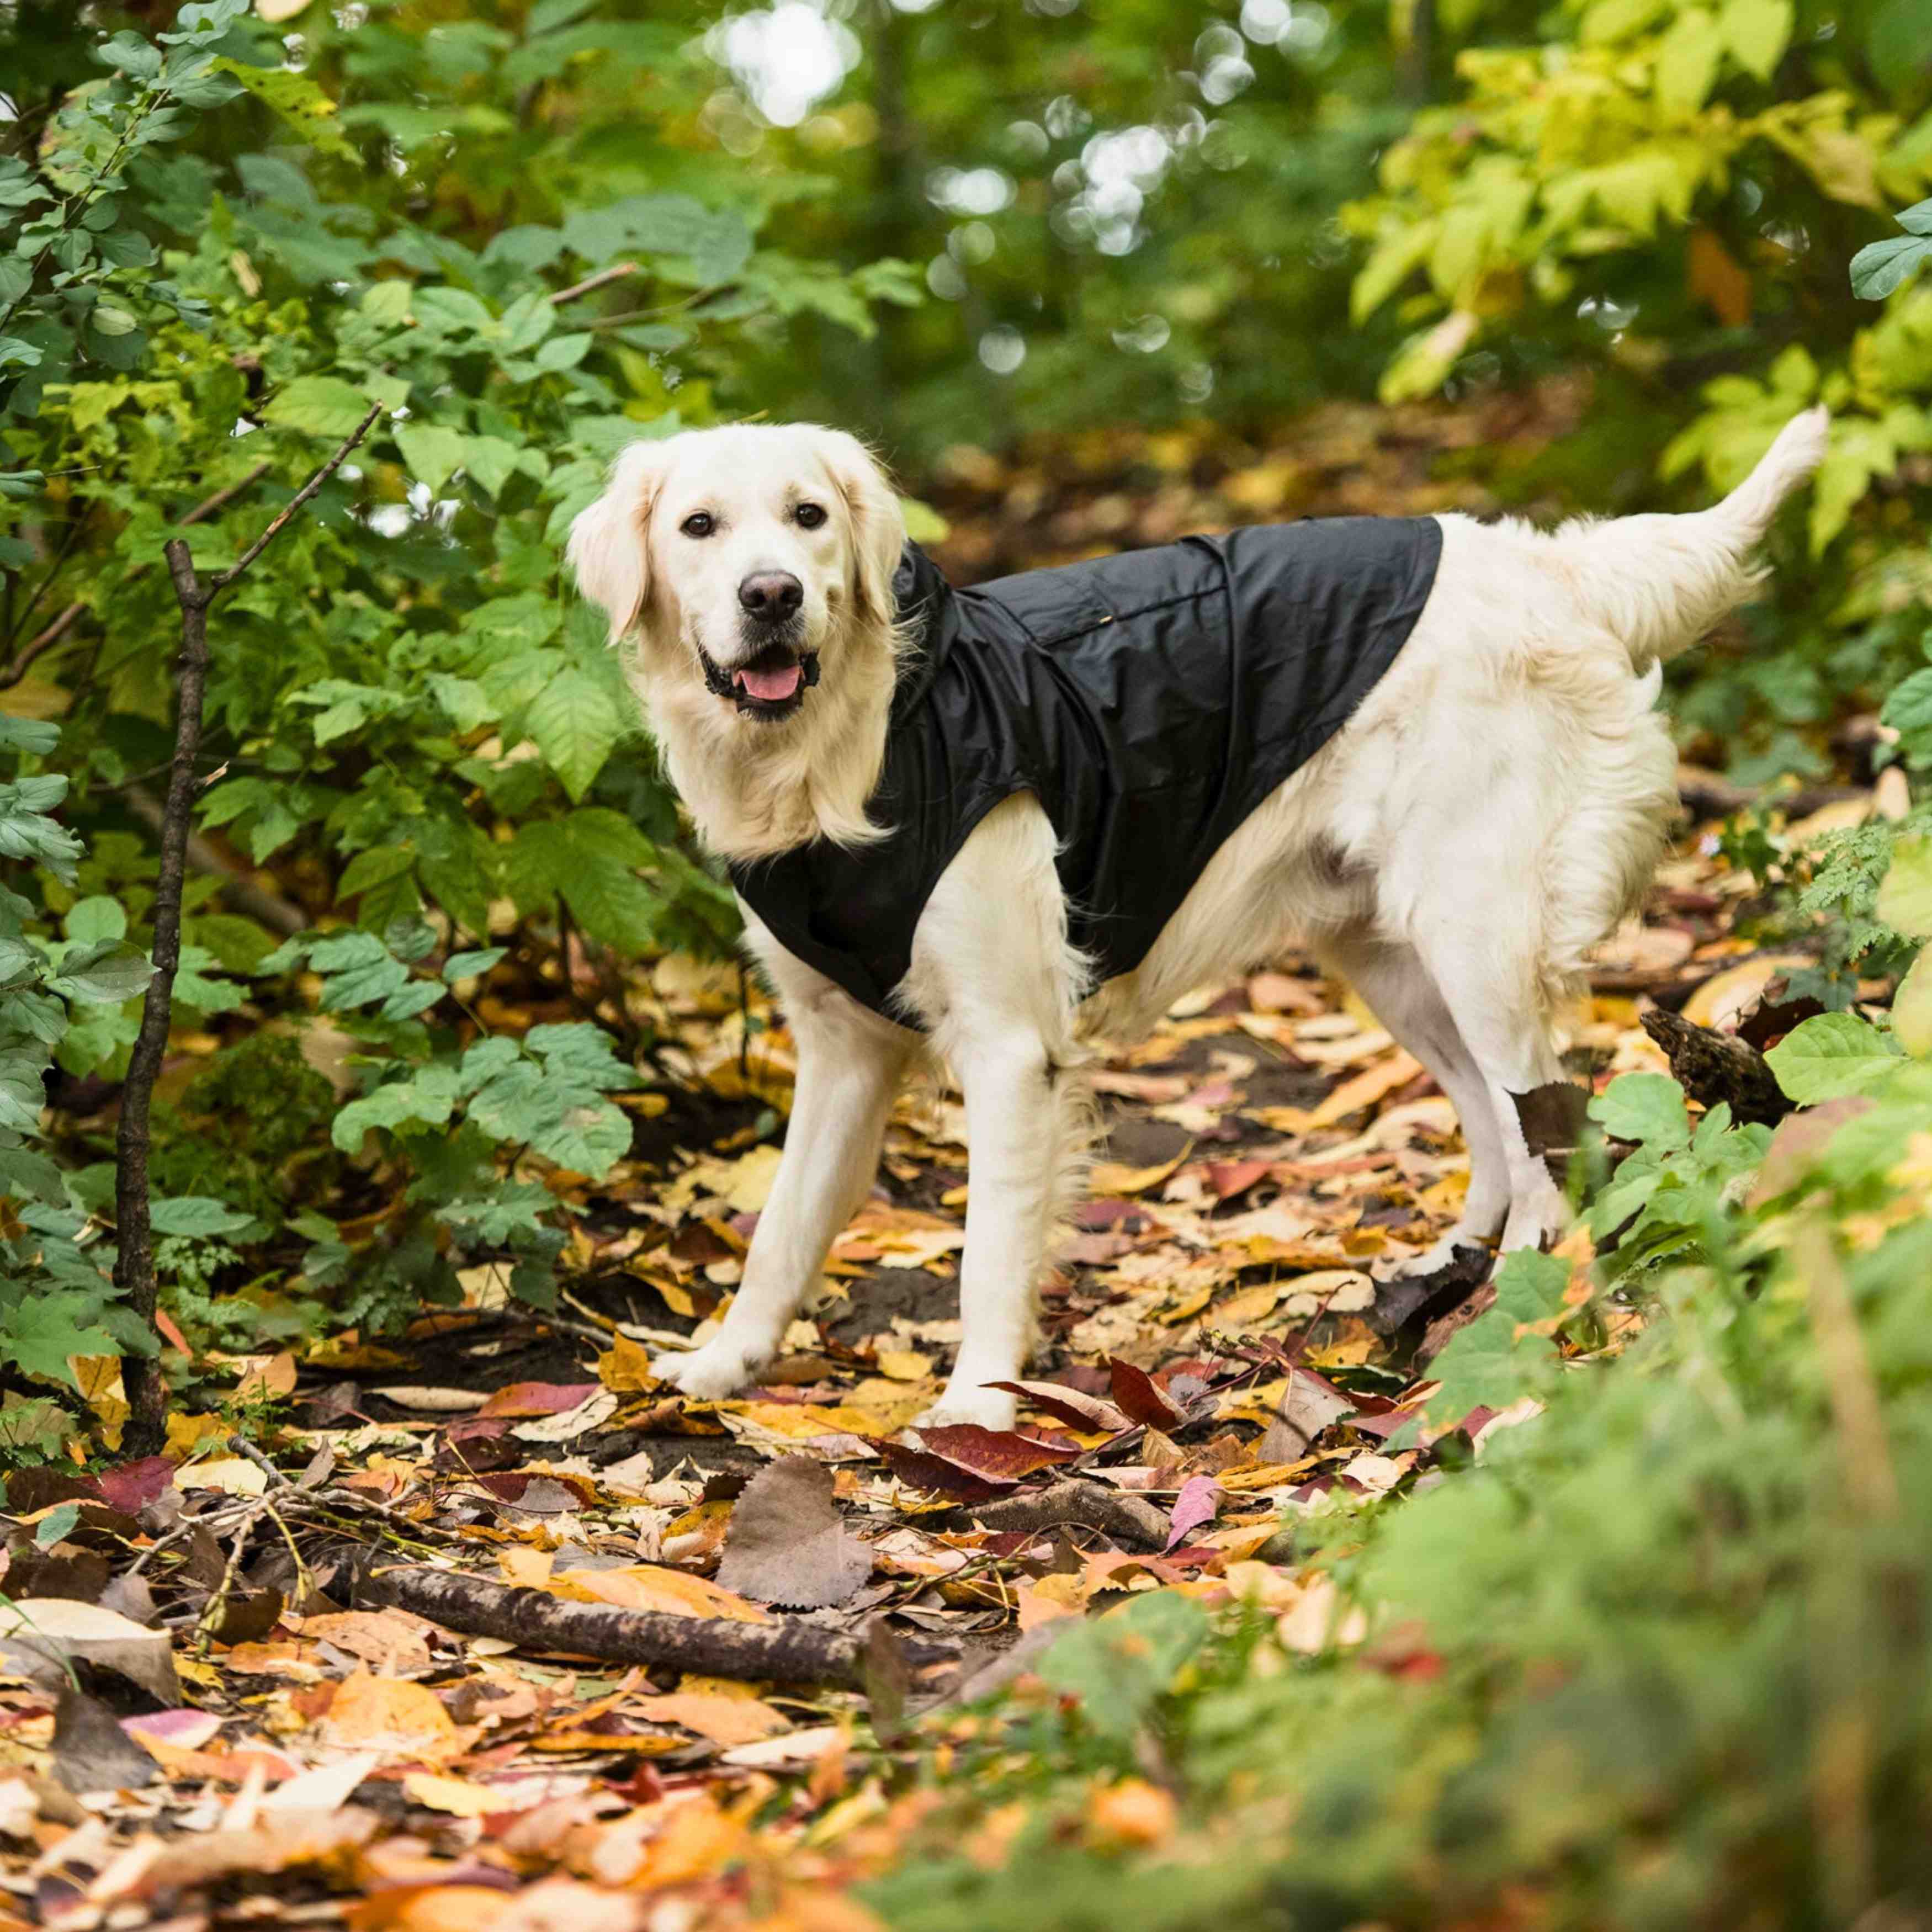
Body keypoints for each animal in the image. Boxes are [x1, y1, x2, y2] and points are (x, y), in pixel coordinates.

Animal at [568, 411, 1824, 1437]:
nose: (771, 596)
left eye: (809, 517)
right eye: (698, 526)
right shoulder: (839, 1050)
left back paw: (1516, 1289)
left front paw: (977, 1407)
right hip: (1391, 955)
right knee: (1492, 1116)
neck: (862, 743)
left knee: (1548, 1125)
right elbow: (781, 1230)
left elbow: (987, 1251)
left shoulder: (1010, 1047)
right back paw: (1454, 1263)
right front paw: (719, 1365)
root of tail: (1550, 561)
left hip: (1478, 931)